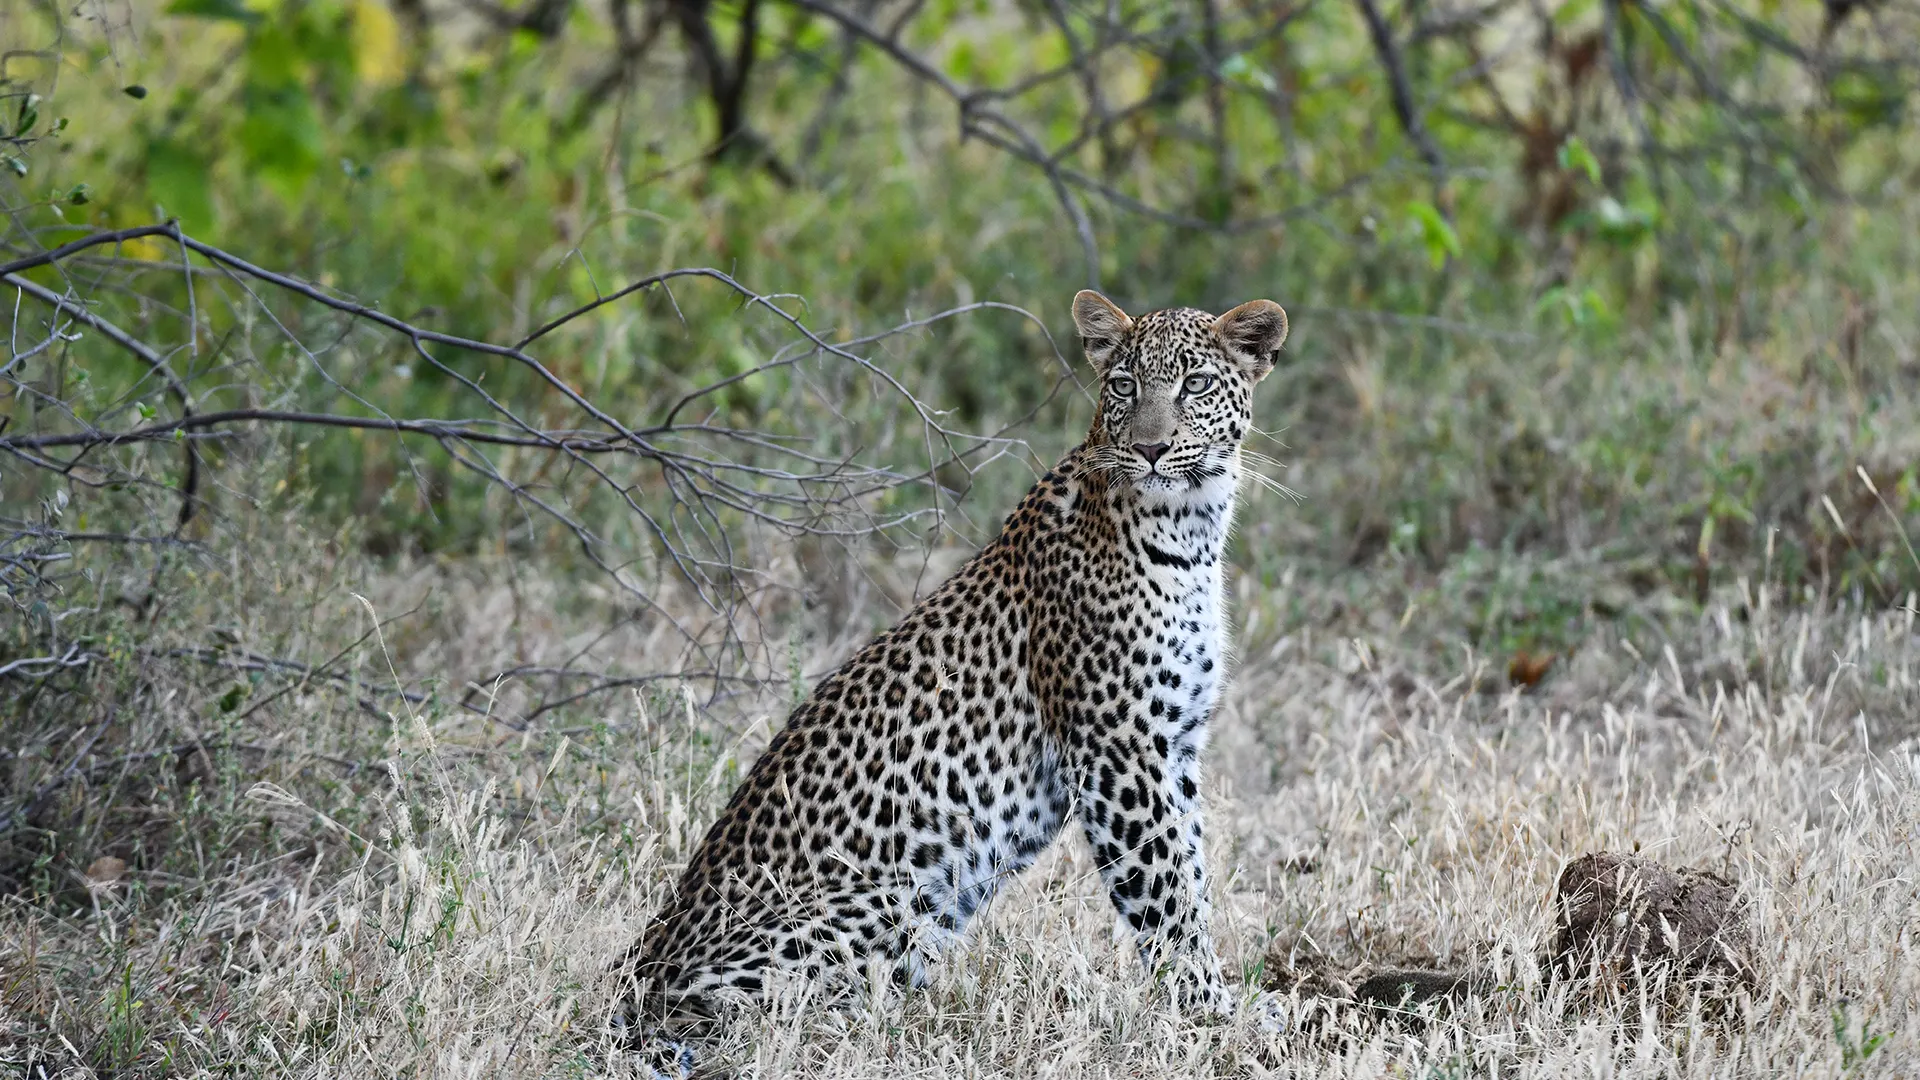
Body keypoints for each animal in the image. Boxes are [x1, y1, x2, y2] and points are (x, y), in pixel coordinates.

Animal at [618, 290, 1290, 1067]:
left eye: (1197, 385)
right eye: (1124, 386)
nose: (1150, 449)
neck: (1191, 527)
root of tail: (635, 977)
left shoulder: (1174, 747)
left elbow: (1193, 873)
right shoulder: (1119, 751)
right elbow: (1167, 895)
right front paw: (1215, 1015)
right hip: (888, 900)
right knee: (776, 1011)